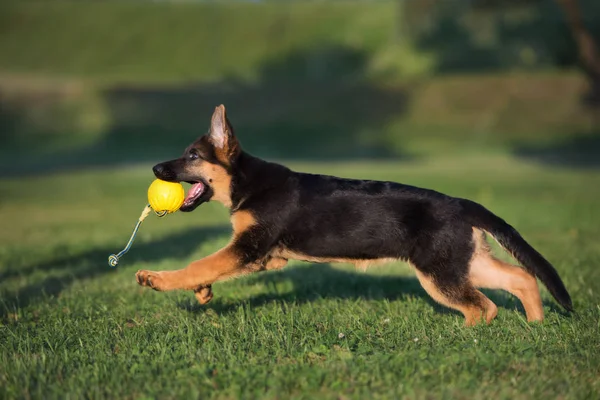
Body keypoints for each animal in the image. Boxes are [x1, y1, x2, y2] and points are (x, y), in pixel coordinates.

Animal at [138, 104, 576, 324]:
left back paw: (468, 337)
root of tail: (463, 203)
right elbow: (209, 265)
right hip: (459, 262)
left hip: (440, 275)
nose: (155, 169)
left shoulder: (250, 248)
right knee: (520, 278)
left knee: (483, 307)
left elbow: (200, 262)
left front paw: (157, 279)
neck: (246, 181)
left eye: (192, 156)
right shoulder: (265, 257)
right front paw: (202, 292)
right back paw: (536, 323)